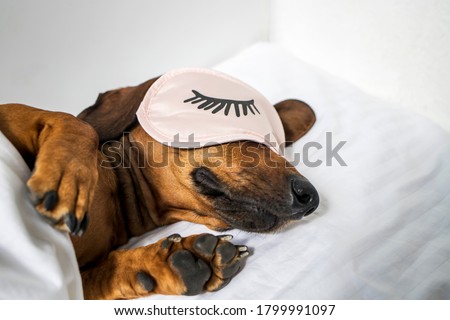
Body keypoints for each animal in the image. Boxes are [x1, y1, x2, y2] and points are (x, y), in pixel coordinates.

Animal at [0, 74, 318, 298]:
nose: (310, 198)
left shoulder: (75, 285)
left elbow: (98, 276)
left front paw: (166, 263)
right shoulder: (10, 114)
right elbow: (80, 125)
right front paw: (67, 180)